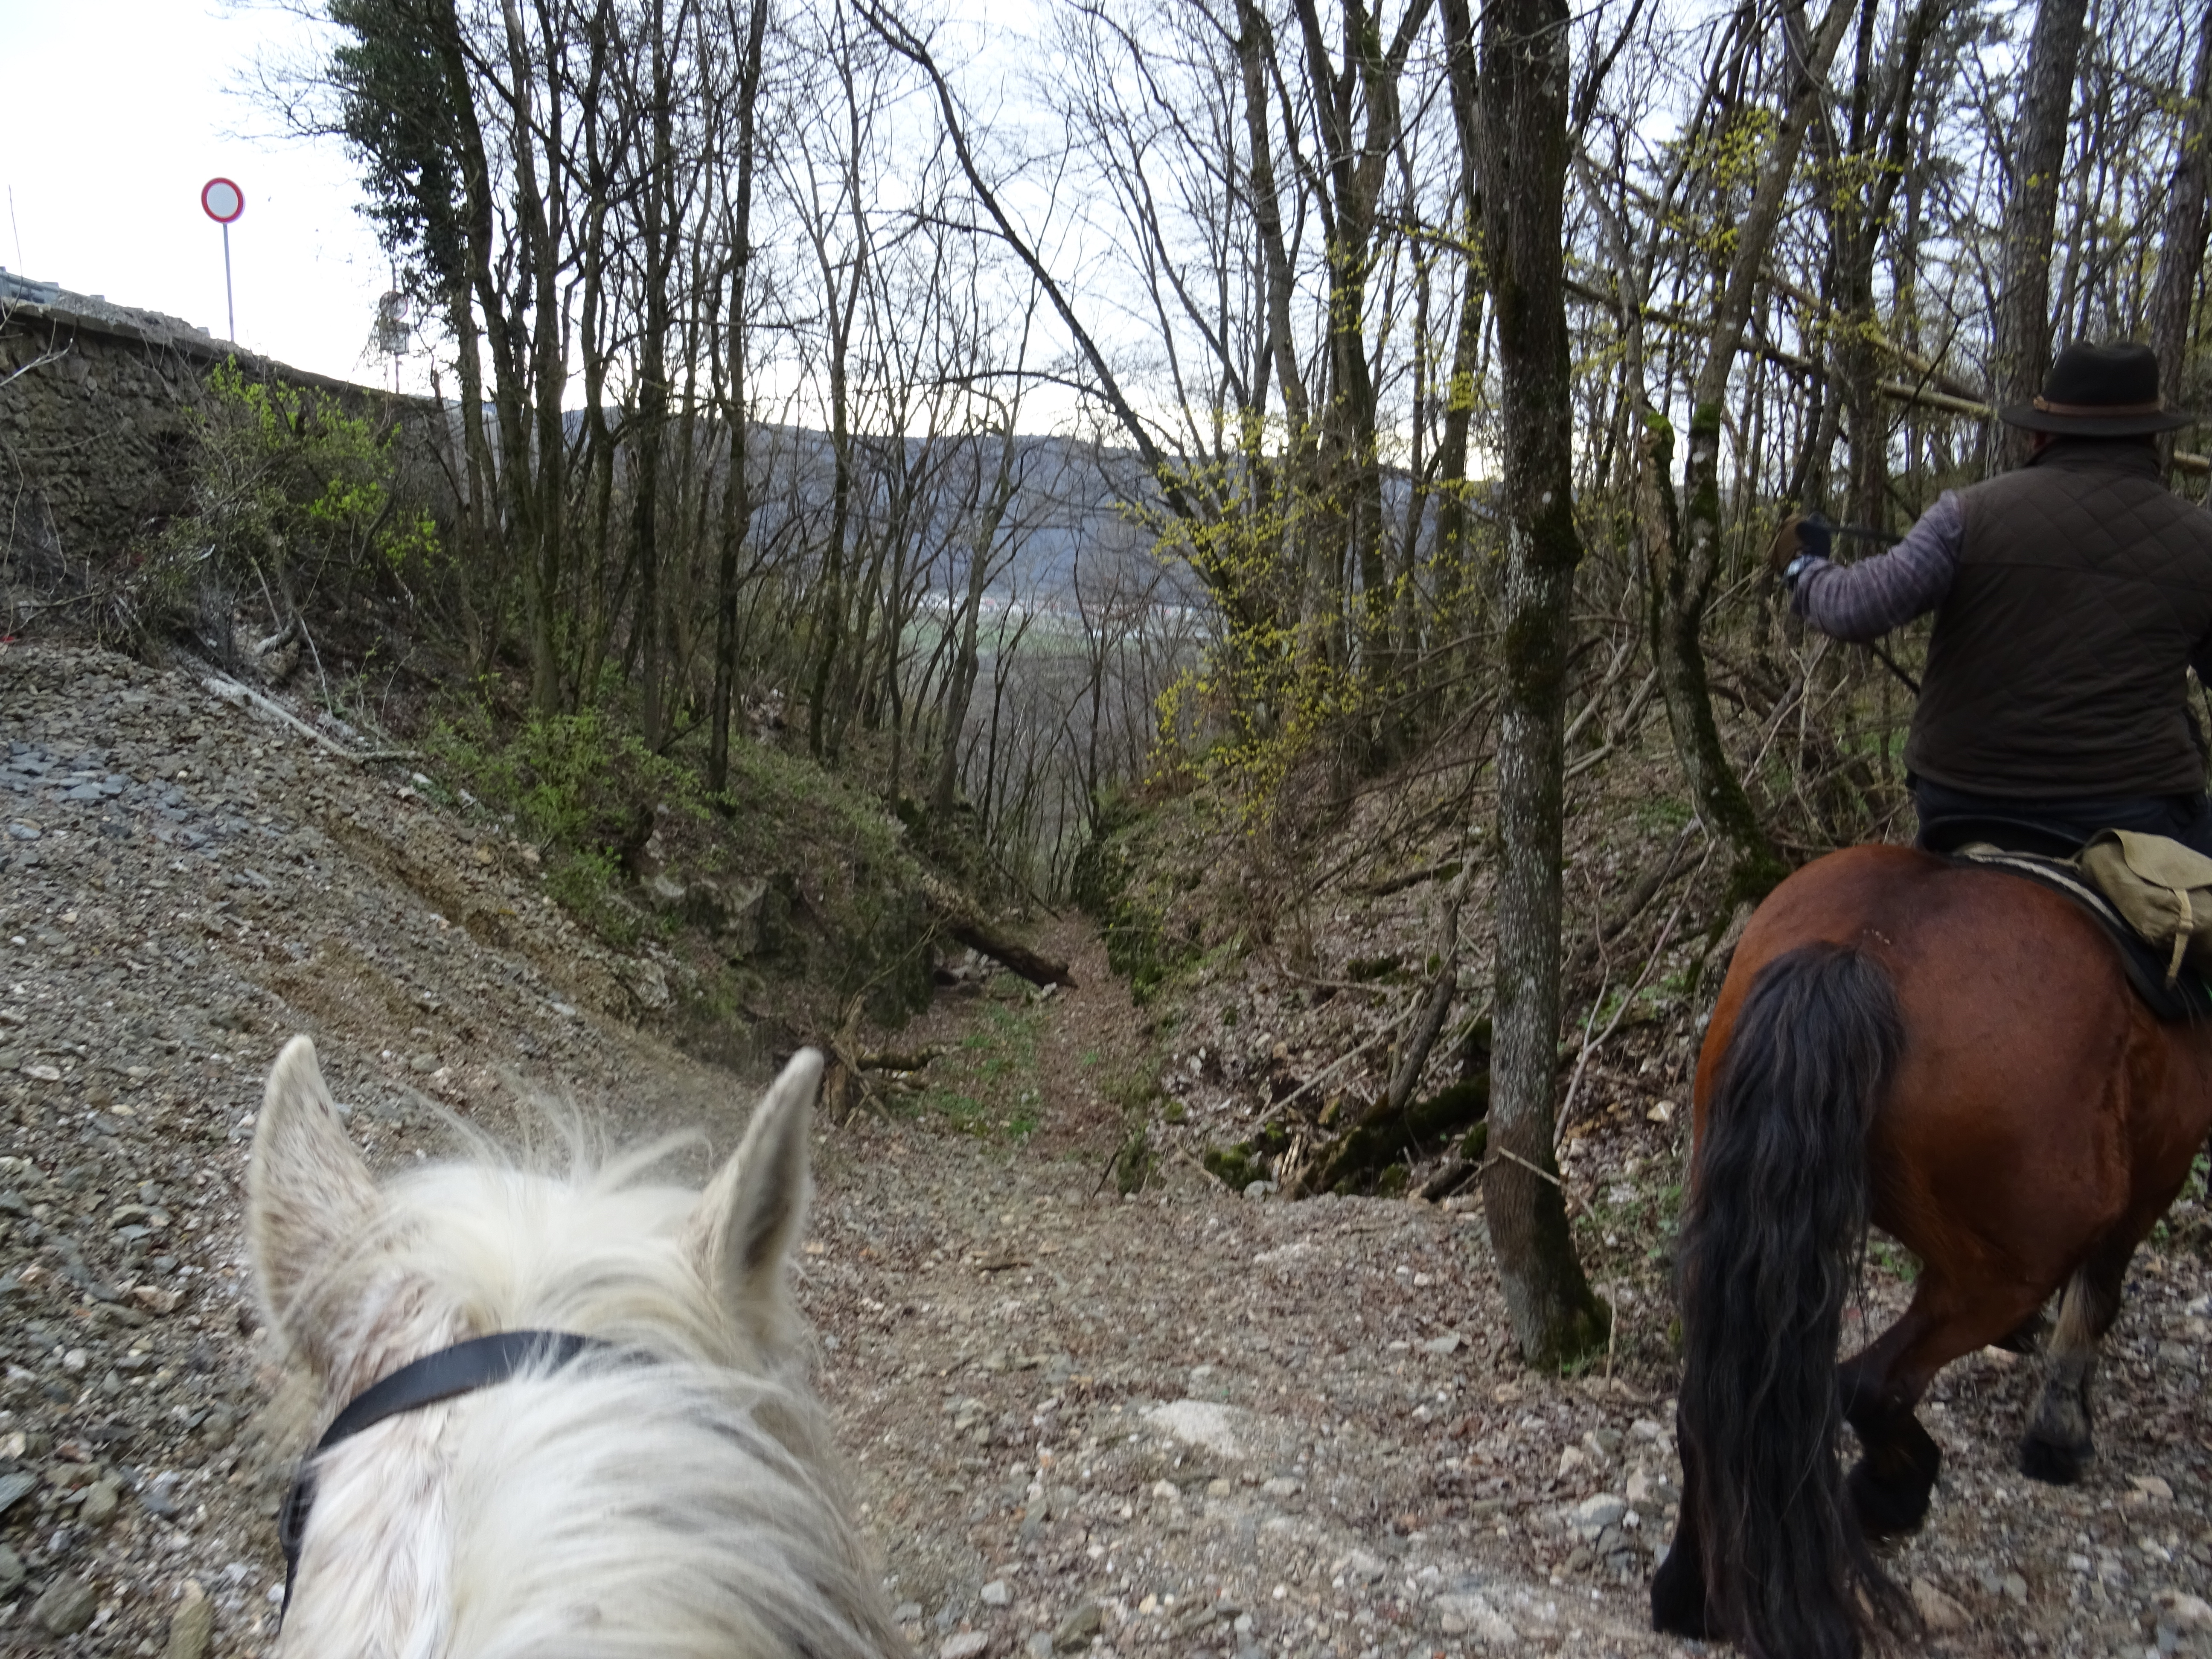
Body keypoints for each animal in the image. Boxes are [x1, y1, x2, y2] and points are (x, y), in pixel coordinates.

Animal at [1654, 849, 2203, 1654]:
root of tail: (1862, 951)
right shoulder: (2158, 1170)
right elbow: (2098, 1296)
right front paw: (2059, 1434)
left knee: (1717, 1398)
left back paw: (1690, 1592)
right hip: (2014, 1259)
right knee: (1869, 1385)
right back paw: (1893, 1492)